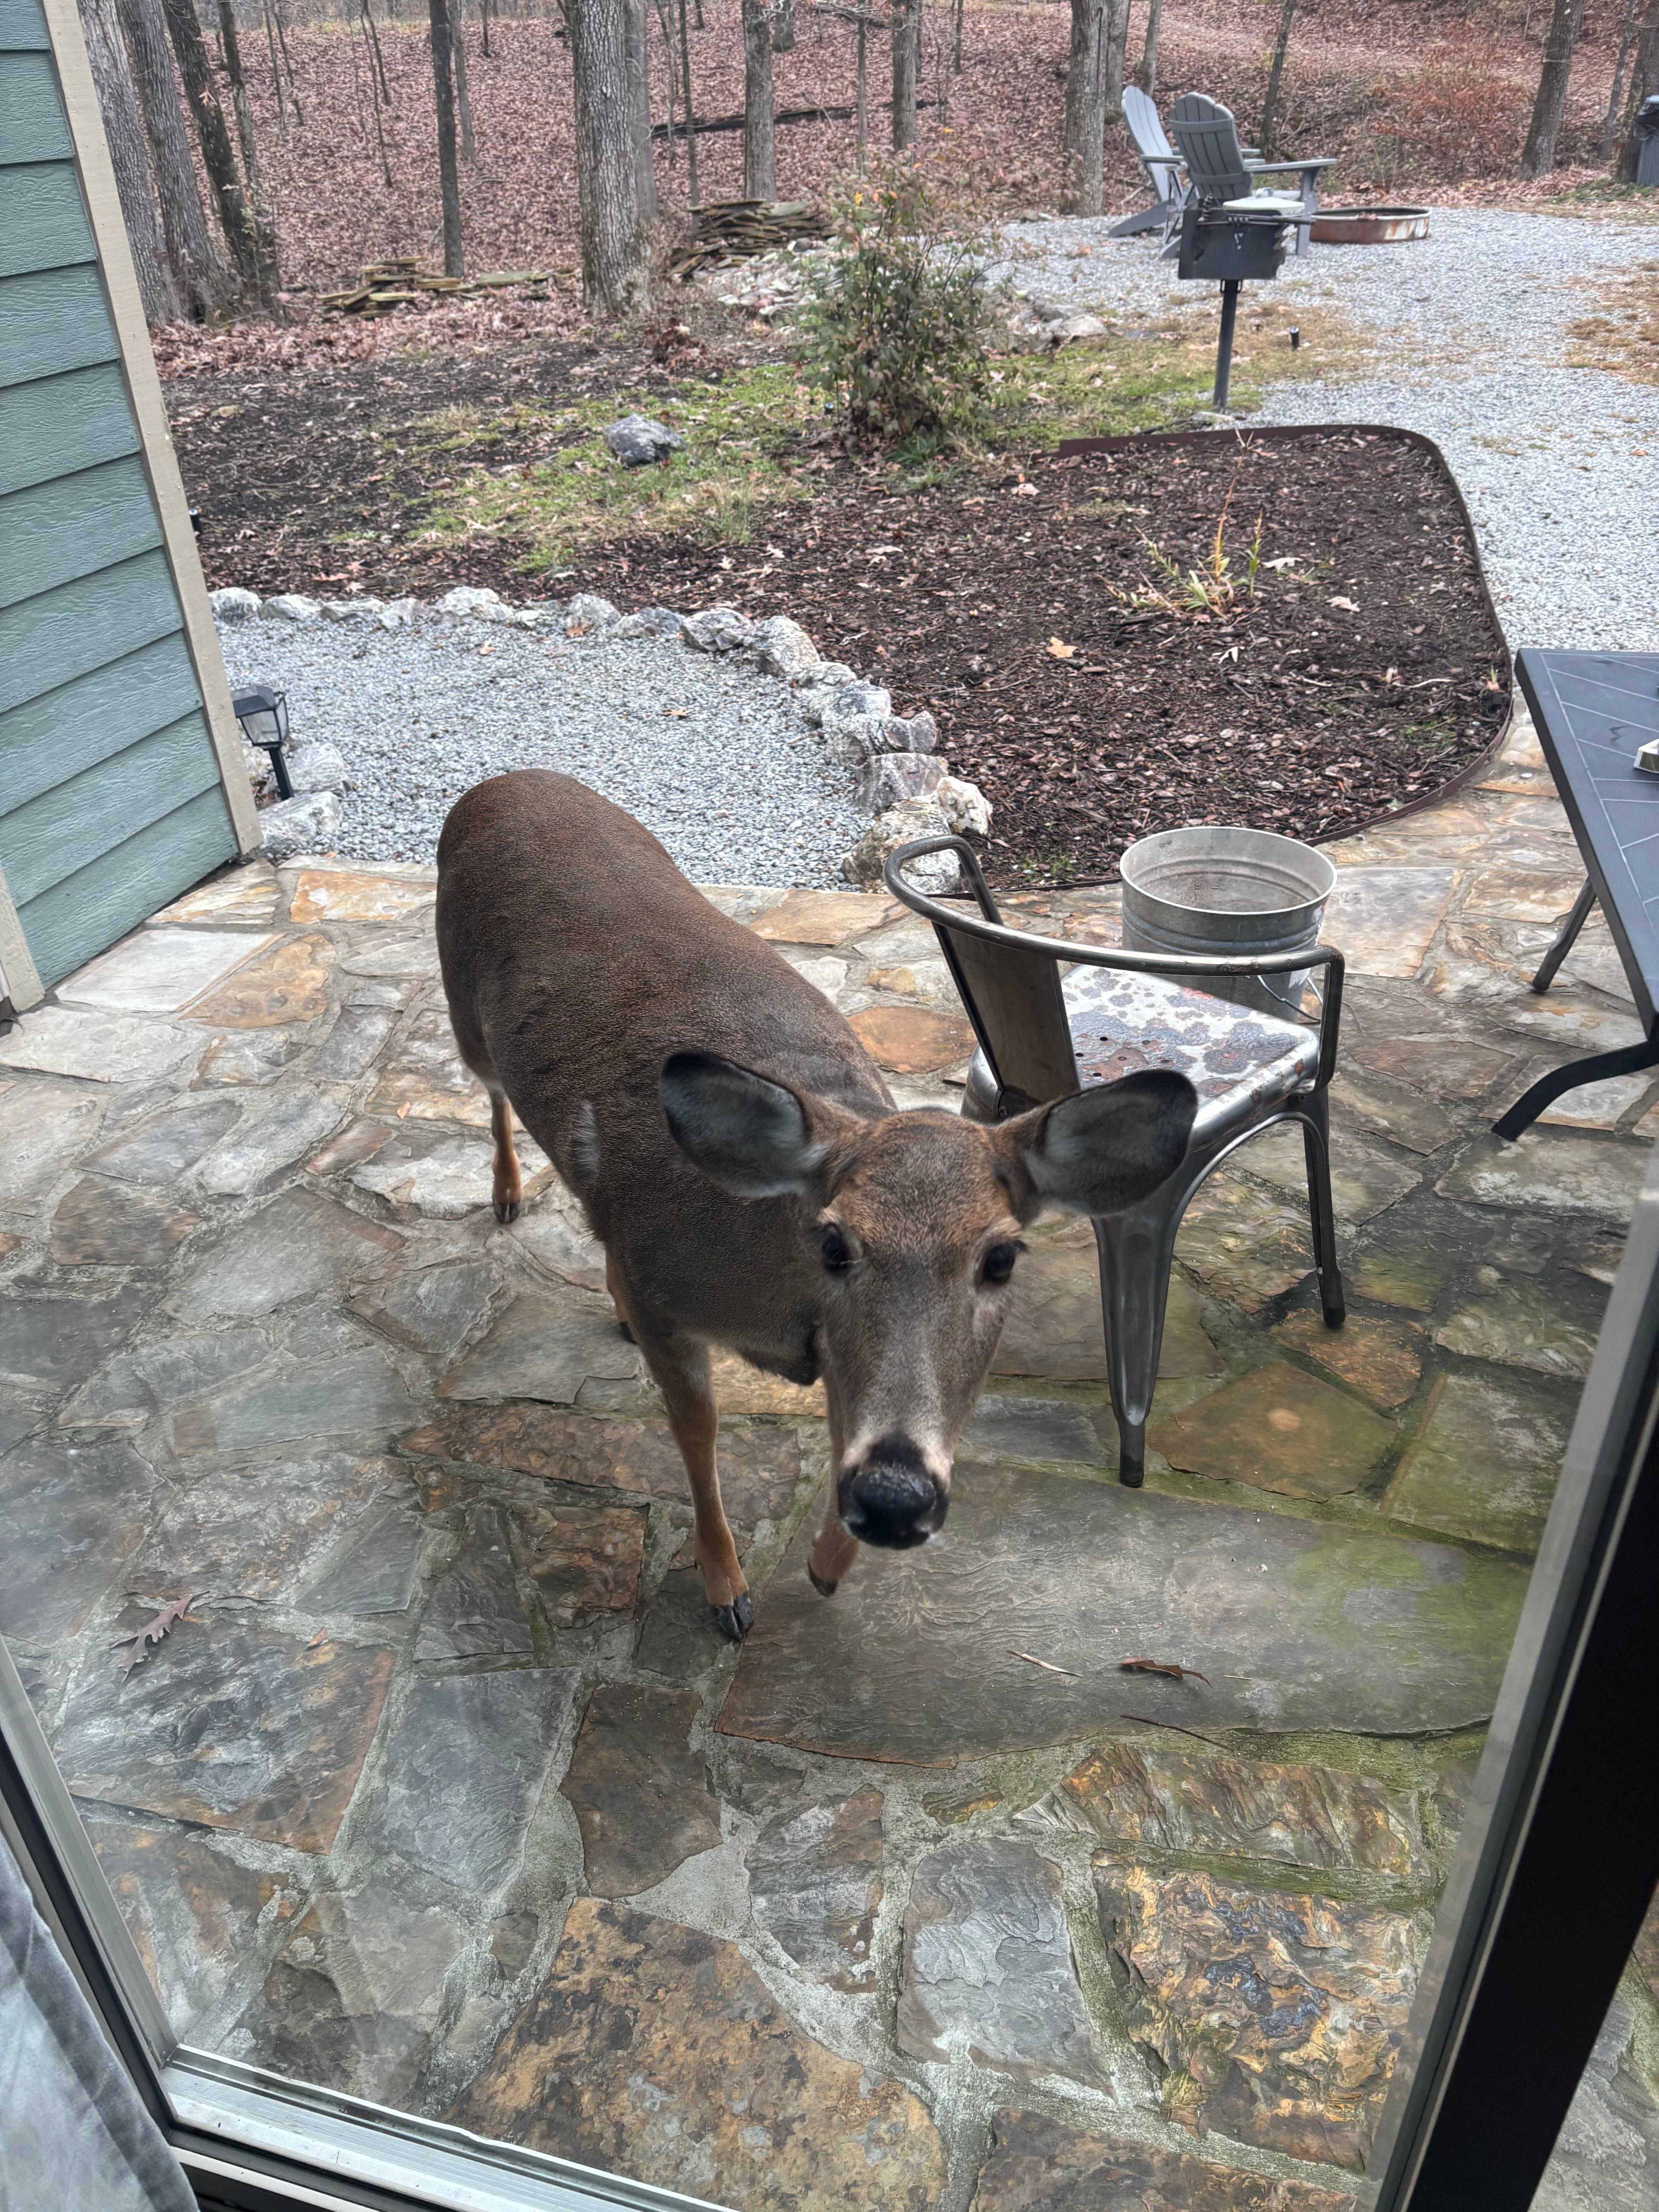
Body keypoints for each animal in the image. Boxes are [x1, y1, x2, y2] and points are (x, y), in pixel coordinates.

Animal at [435, 771, 1197, 1643]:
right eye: (833, 1245)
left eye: (1002, 1257)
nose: (896, 1500)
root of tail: (502, 783)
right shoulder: (666, 1288)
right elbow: (696, 1432)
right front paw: (727, 1590)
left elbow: (841, 1423)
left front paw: (825, 1564)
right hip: (465, 1016)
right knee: (490, 1092)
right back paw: (506, 1198)